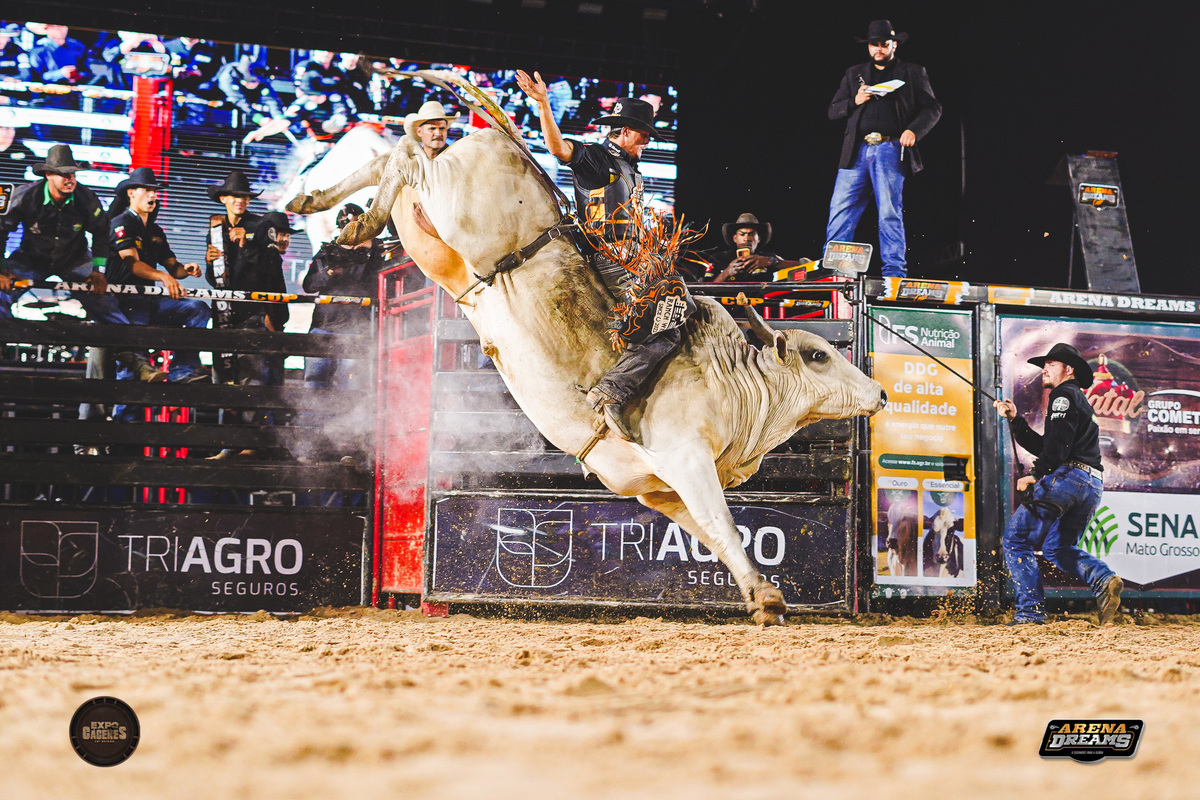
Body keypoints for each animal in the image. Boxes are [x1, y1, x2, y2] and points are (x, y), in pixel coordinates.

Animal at [288, 117, 887, 625]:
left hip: (431, 238)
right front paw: (766, 598)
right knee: (410, 154)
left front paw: (757, 595)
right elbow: (726, 526)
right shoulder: (687, 458)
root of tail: (500, 140)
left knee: (393, 158)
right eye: (819, 355)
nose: (880, 393)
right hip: (448, 197)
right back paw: (348, 217)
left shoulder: (659, 489)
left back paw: (321, 202)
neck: (739, 388)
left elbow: (716, 534)